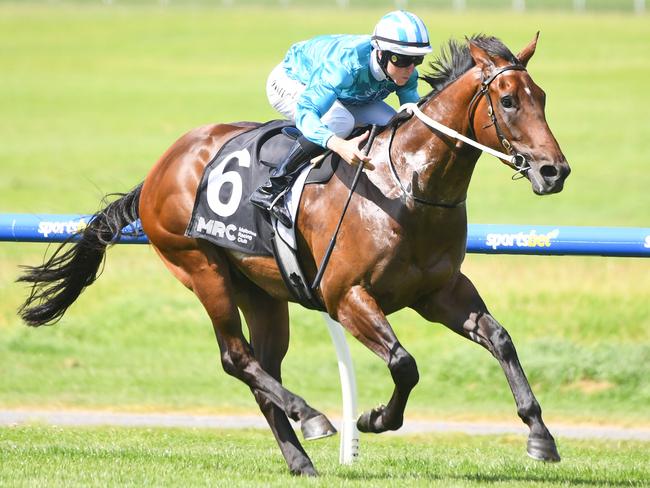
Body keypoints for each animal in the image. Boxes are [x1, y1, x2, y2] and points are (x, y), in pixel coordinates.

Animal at [17, 35, 568, 476]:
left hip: (262, 292)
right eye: (508, 100)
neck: (406, 186)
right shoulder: (346, 296)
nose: (554, 171)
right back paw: (312, 416)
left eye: (542, 96)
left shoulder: (440, 291)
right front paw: (374, 418)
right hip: (201, 266)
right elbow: (404, 363)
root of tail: (159, 168)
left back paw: (300, 459)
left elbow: (500, 339)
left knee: (263, 369)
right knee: (237, 358)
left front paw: (540, 436)